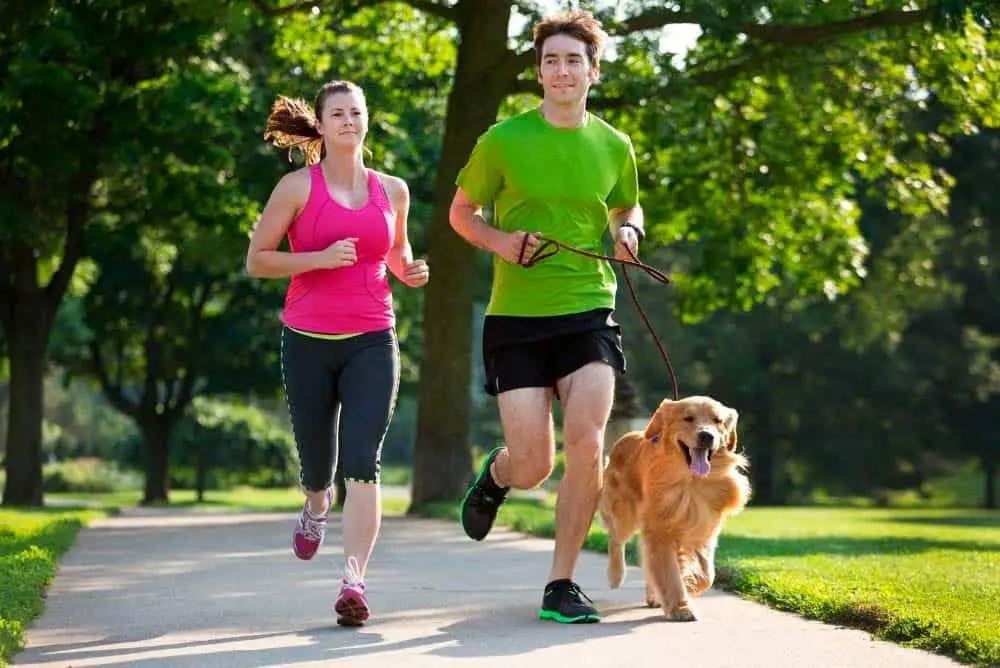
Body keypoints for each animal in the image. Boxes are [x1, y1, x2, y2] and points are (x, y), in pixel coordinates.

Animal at [600, 396, 752, 620]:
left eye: (718, 421)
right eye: (688, 418)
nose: (706, 435)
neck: (692, 482)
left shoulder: (704, 529)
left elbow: (707, 574)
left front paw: (690, 585)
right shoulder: (660, 531)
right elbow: (669, 572)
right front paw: (681, 607)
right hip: (623, 513)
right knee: (616, 540)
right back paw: (615, 575)